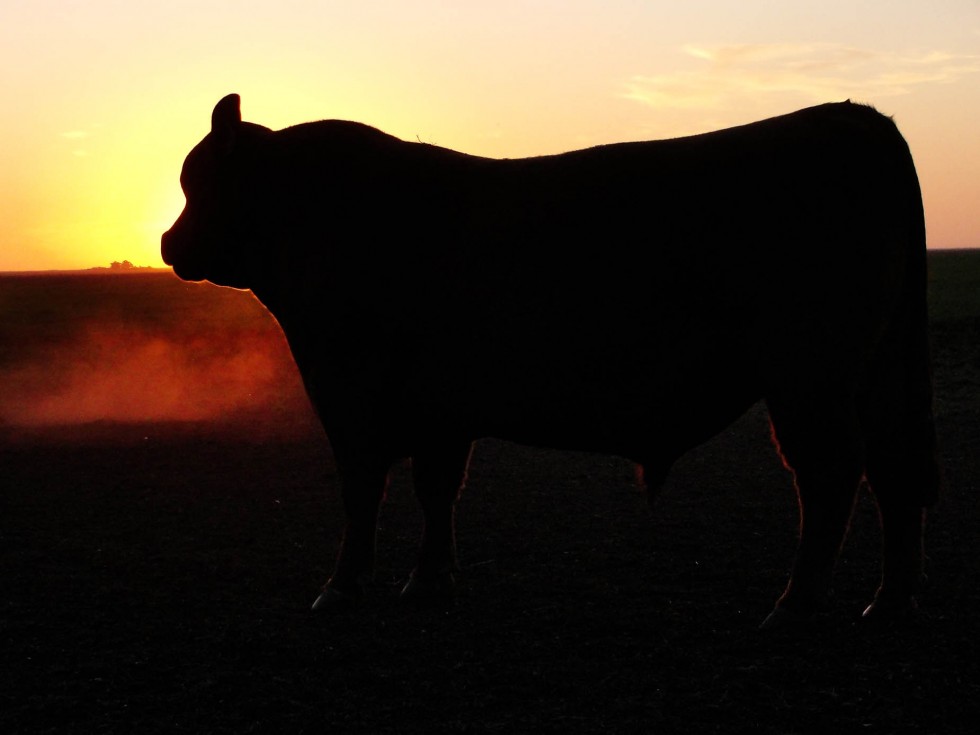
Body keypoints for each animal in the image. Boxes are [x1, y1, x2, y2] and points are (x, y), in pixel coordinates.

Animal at [165, 95, 936, 628]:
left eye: (199, 184)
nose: (170, 243)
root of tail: (852, 117)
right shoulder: (442, 406)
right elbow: (436, 488)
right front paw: (429, 582)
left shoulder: (349, 391)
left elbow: (365, 489)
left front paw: (342, 588)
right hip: (874, 374)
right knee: (893, 468)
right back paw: (888, 602)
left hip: (808, 376)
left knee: (831, 472)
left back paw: (795, 605)